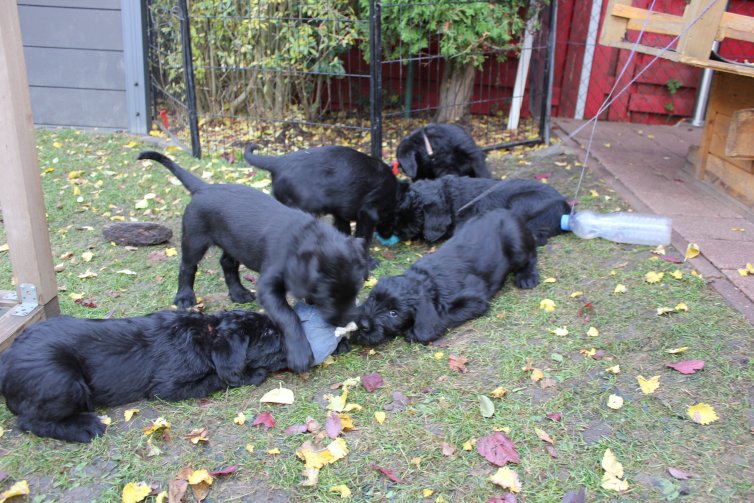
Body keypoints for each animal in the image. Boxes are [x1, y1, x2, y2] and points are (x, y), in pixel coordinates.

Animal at [0, 310, 286, 442]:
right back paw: (85, 427)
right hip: (61, 379)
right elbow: (218, 378)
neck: (203, 334)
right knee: (29, 421)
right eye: (267, 334)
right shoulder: (167, 386)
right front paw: (255, 373)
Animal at [140, 151, 368, 374]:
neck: (307, 238)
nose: (347, 320)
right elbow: (288, 316)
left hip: (234, 242)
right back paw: (185, 297)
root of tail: (205, 187)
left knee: (227, 263)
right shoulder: (268, 287)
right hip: (194, 238)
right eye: (328, 297)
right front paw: (300, 353)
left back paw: (238, 292)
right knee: (187, 267)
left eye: (356, 292)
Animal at [244, 144, 402, 252]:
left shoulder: (340, 212)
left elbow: (344, 229)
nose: (389, 236)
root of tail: (278, 163)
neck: (394, 195)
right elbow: (363, 236)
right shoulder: (368, 213)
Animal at [356, 209, 536, 346]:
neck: (427, 281)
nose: (363, 324)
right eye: (372, 298)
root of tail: (508, 212)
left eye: (393, 313)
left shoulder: (474, 300)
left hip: (516, 247)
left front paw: (413, 332)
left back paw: (527, 277)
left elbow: (444, 318)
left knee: (531, 253)